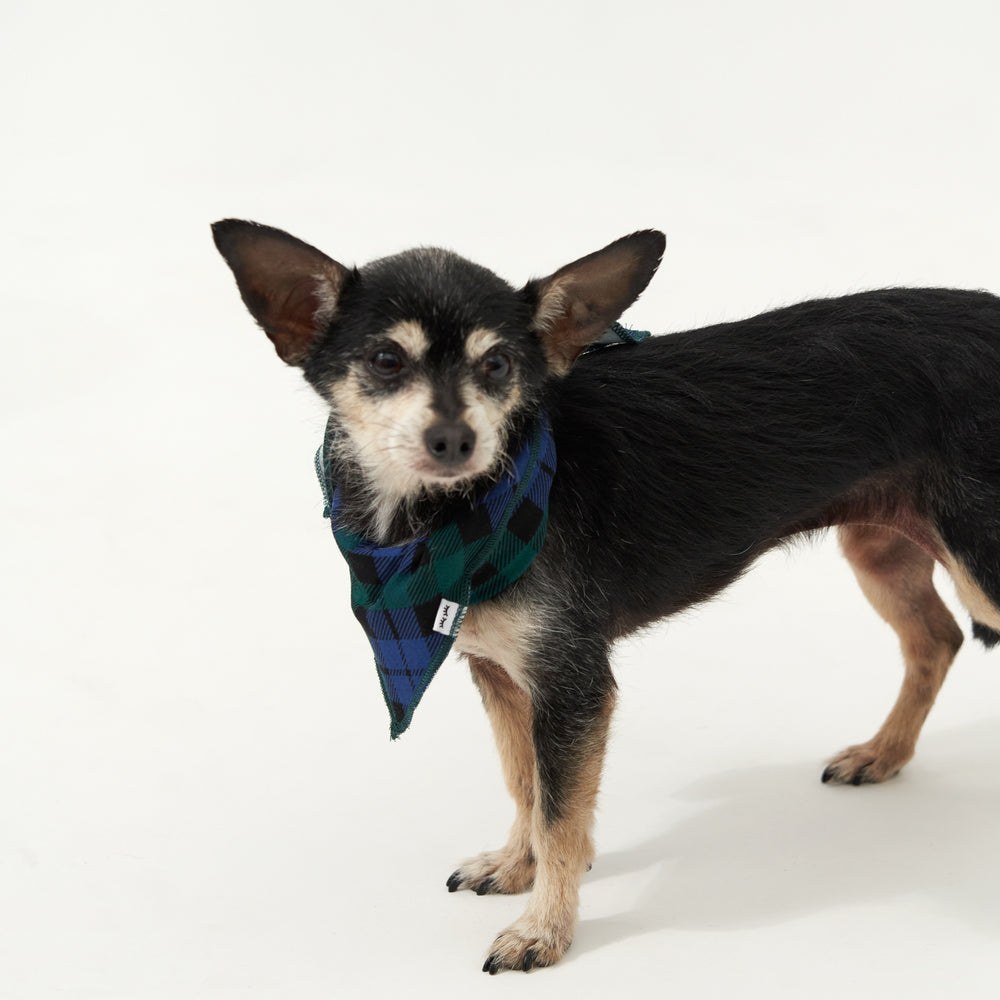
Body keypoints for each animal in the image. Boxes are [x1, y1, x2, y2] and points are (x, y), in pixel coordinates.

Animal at [211, 221, 1000, 976]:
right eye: (385, 361)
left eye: (498, 365)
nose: (453, 438)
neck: (443, 522)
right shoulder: (503, 673)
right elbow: (525, 783)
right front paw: (517, 865)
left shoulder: (572, 683)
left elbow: (560, 812)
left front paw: (544, 930)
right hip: (882, 547)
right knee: (936, 639)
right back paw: (884, 753)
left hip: (978, 566)